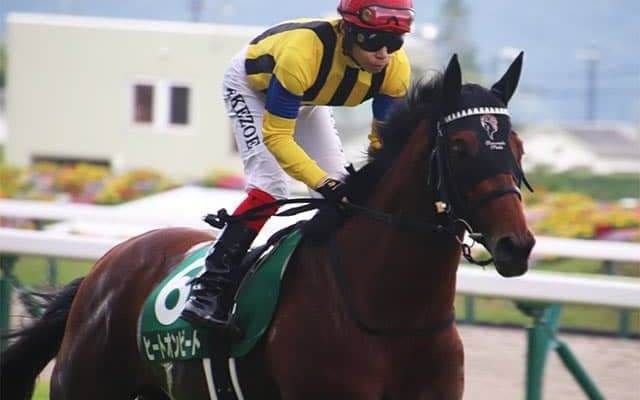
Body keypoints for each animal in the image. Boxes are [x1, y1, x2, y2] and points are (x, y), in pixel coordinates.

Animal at [1, 53, 535, 400]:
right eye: (461, 146)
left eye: (517, 147)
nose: (518, 246)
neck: (393, 316)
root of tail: (107, 264)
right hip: (86, 384)